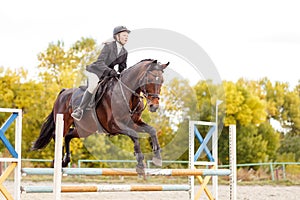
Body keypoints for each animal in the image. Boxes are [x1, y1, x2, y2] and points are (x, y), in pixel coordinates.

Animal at [32, 58, 170, 174]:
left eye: (162, 81)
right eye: (149, 80)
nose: (154, 106)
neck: (127, 95)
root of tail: (63, 92)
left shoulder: (133, 123)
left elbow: (151, 130)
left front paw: (157, 158)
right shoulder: (114, 125)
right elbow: (134, 136)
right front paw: (140, 165)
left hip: (86, 129)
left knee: (69, 135)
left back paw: (65, 161)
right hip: (64, 121)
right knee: (58, 135)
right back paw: (57, 162)